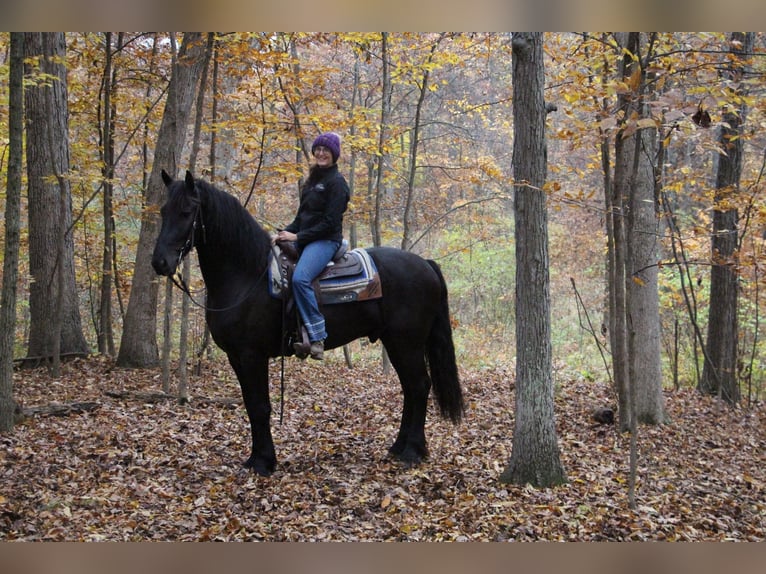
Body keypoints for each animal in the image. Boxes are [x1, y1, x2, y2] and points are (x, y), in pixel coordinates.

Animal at [149, 171, 462, 476]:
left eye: (187, 211)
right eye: (164, 210)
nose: (160, 263)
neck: (249, 275)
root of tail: (425, 264)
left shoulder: (252, 355)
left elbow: (260, 406)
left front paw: (263, 462)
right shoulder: (236, 357)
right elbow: (250, 405)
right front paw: (256, 458)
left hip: (406, 342)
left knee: (419, 385)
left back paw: (412, 452)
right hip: (396, 342)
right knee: (410, 387)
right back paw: (399, 447)